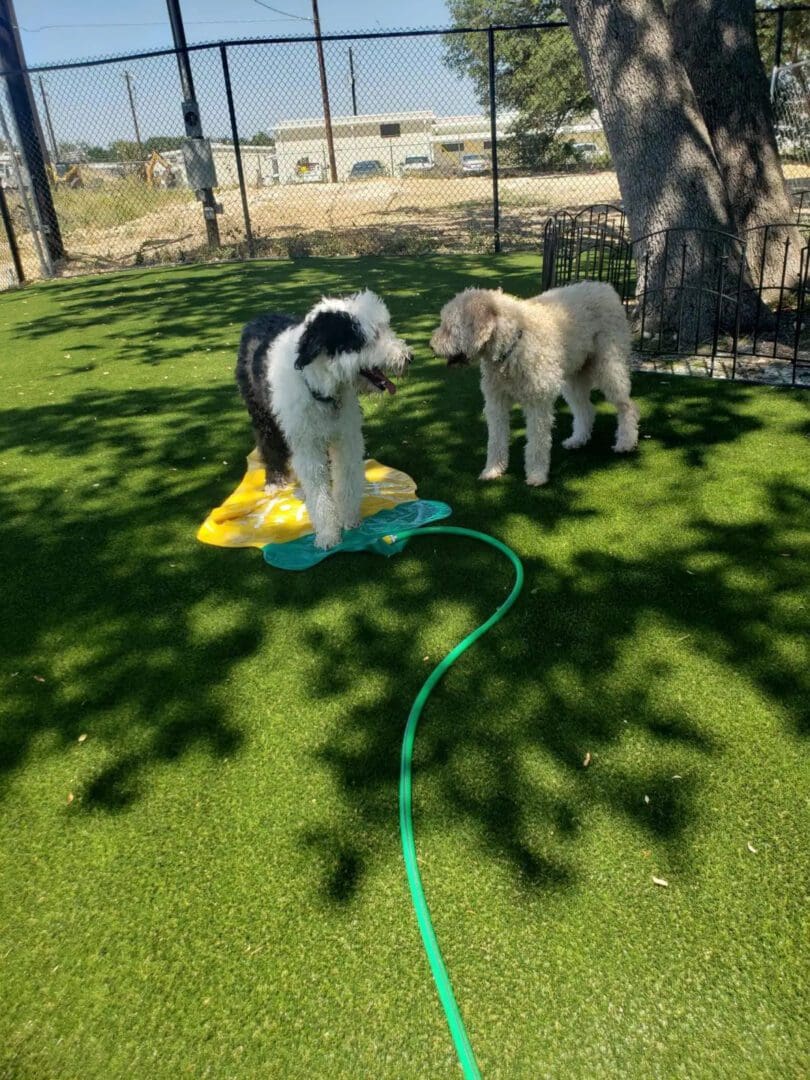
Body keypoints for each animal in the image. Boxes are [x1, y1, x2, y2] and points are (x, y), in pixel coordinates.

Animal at [236, 289, 412, 548]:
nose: (408, 357)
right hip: (262, 414)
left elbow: (346, 480)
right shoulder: (307, 446)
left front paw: (349, 519)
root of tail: (260, 317)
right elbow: (318, 492)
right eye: (369, 338)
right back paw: (274, 481)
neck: (324, 390)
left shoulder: (346, 437)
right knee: (268, 444)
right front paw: (328, 534)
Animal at [432, 278, 639, 486]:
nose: (431, 346)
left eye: (449, 328)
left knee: (627, 406)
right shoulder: (496, 403)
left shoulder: (537, 404)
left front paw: (537, 475)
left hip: (609, 365)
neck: (511, 348)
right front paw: (492, 470)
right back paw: (578, 439)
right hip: (574, 376)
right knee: (585, 409)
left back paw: (626, 442)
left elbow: (537, 442)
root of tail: (603, 286)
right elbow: (496, 440)